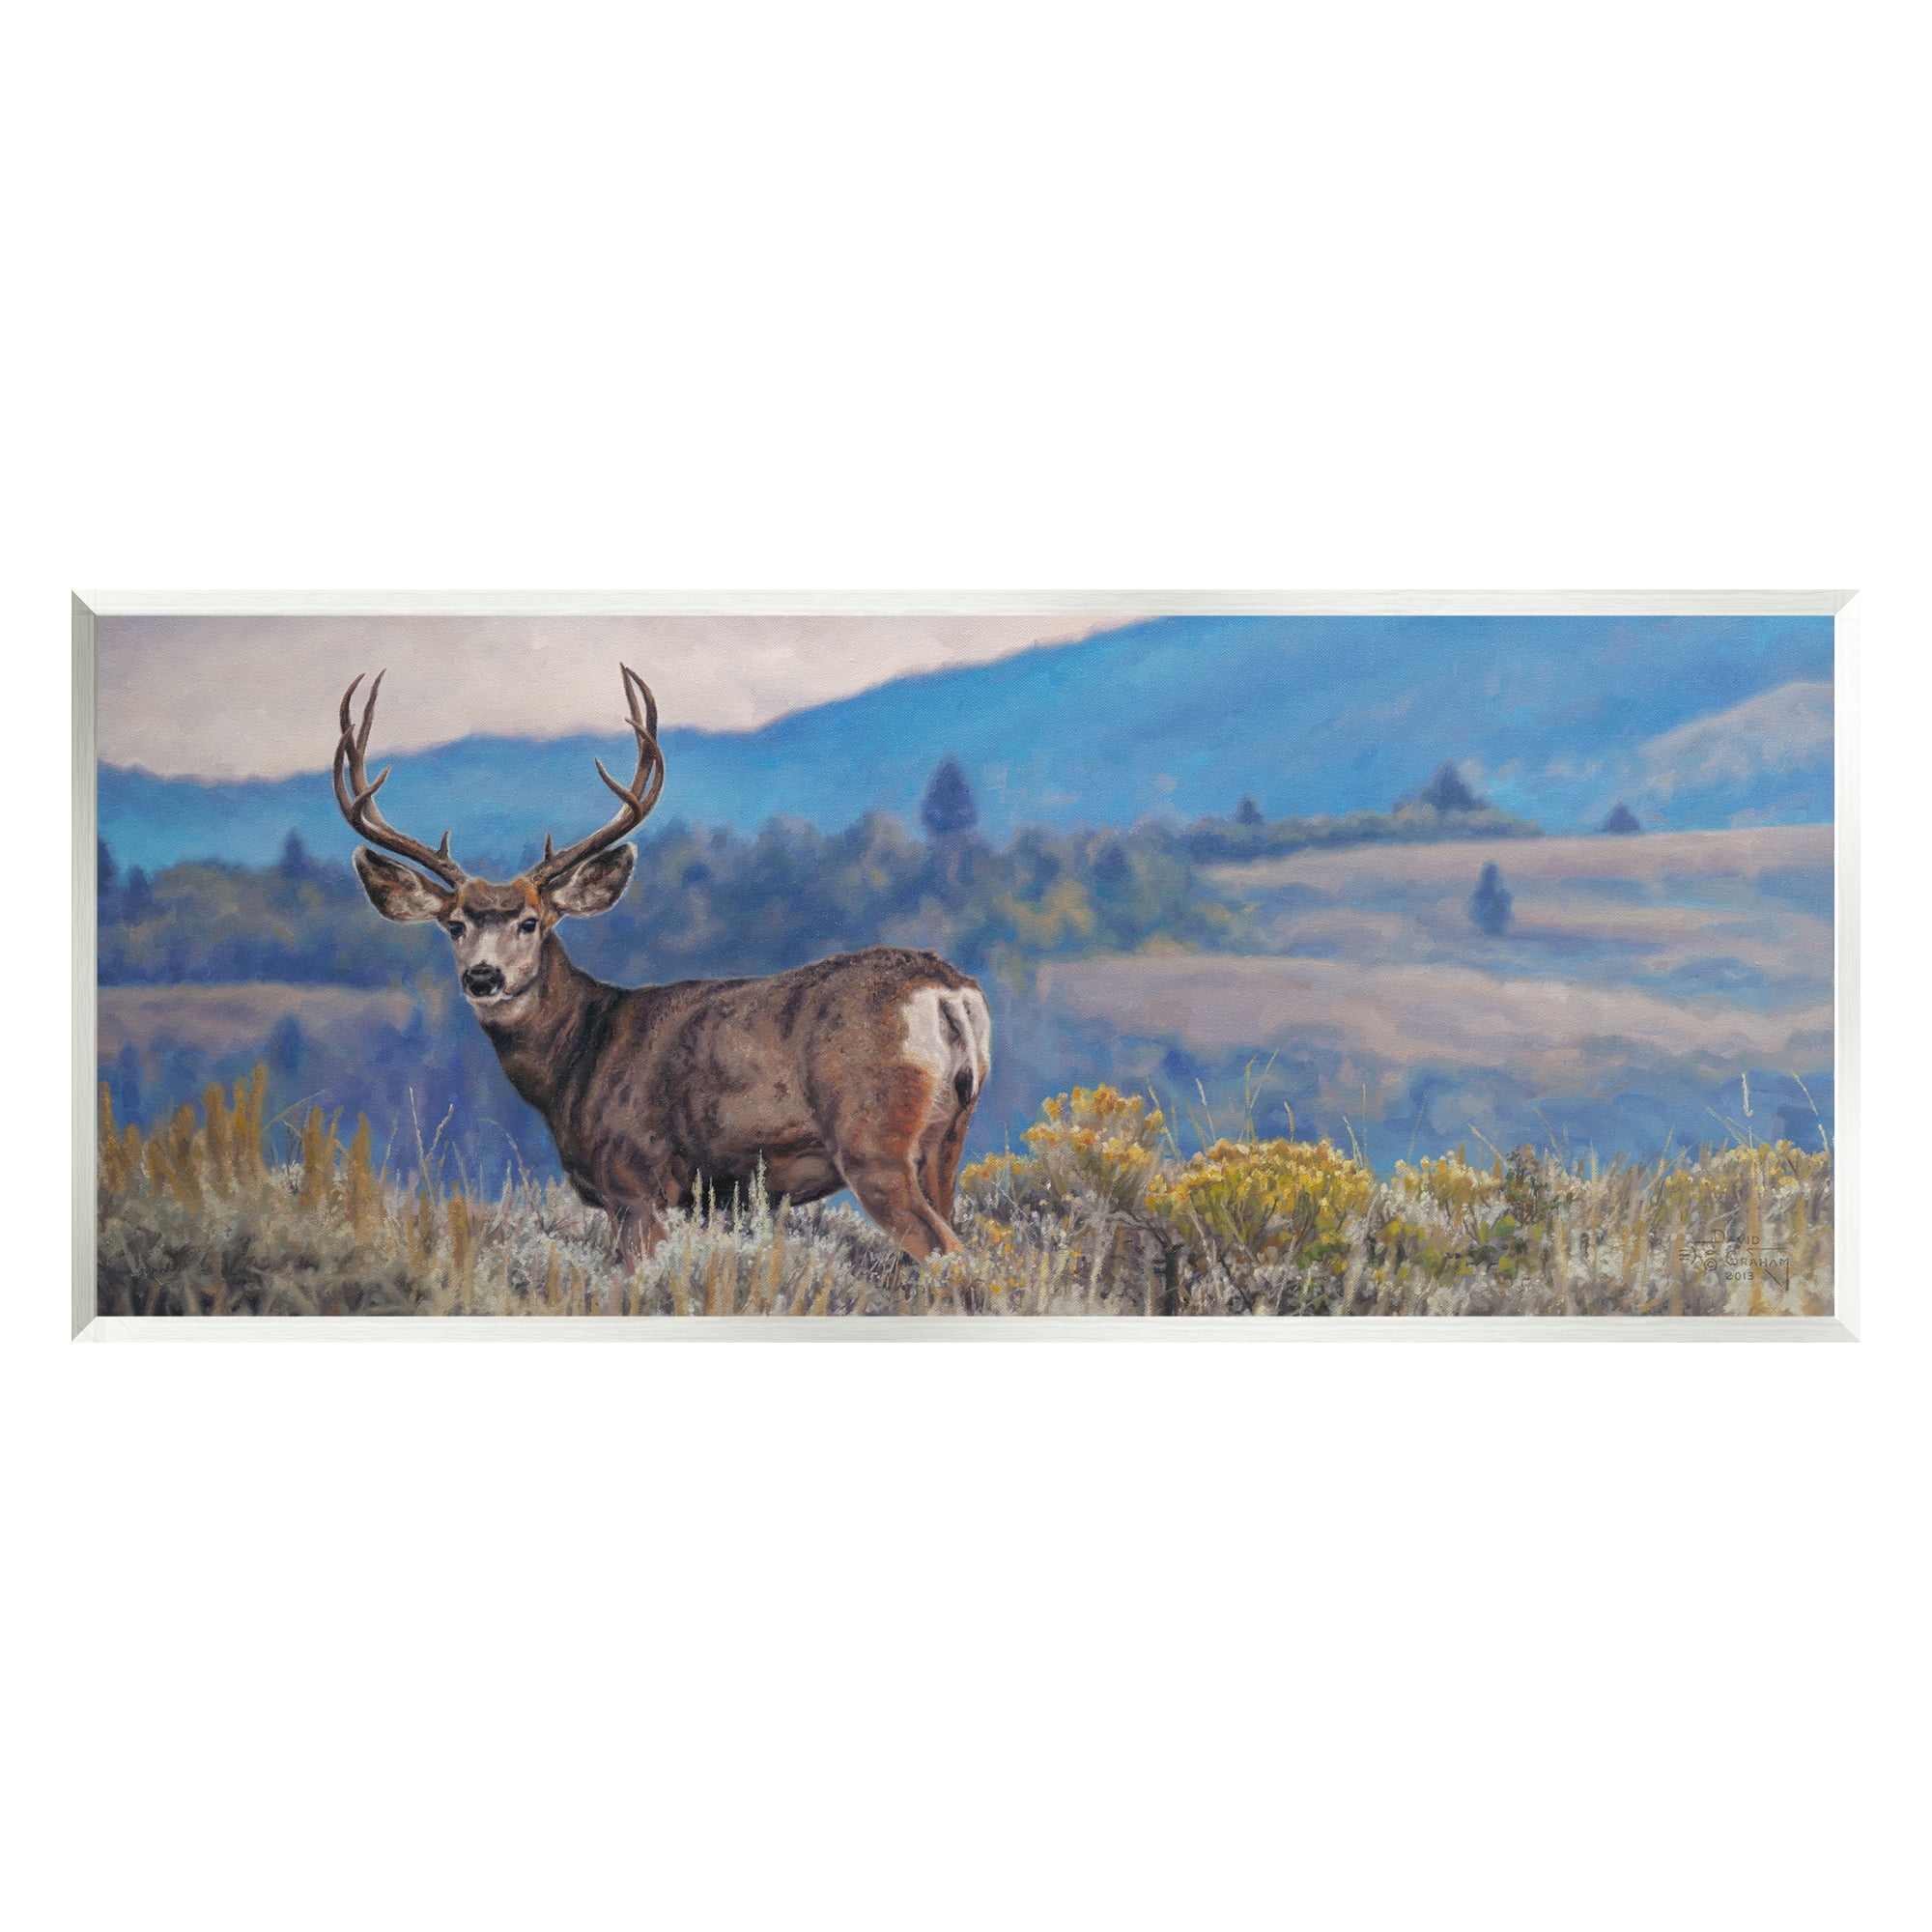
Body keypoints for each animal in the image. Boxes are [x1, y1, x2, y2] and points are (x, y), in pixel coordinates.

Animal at [332, 664, 991, 1270]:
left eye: (532, 922)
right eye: (454, 925)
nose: (483, 977)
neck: (578, 1057)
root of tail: (947, 991)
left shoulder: (634, 1179)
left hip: (872, 1137)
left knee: (949, 1252)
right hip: (948, 1139)